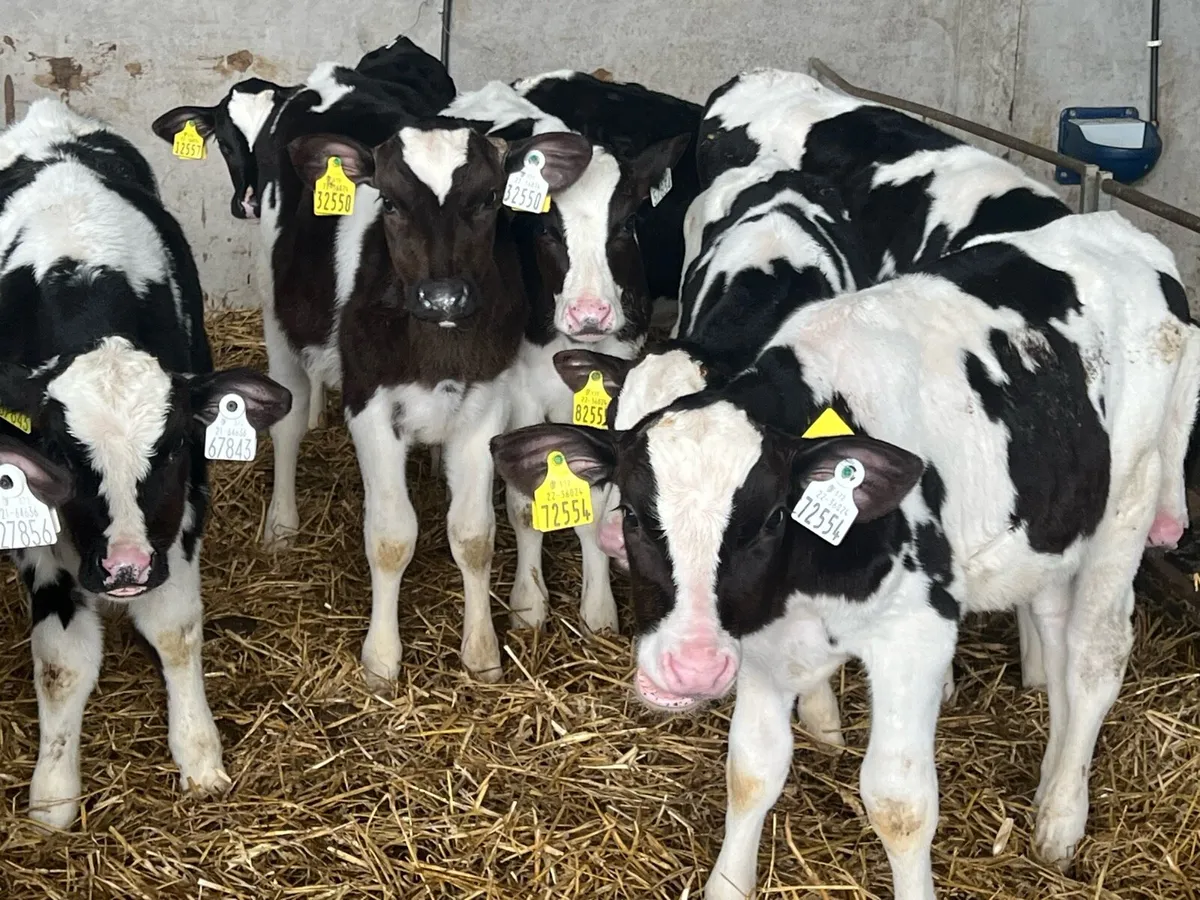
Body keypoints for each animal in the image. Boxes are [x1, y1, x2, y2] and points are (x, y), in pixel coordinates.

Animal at [0, 98, 292, 830]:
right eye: (59, 451)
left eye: (176, 447)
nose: (126, 568)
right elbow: (61, 662)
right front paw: (53, 792)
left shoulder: (185, 509)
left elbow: (176, 628)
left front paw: (199, 753)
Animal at [444, 79, 690, 634]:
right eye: (546, 230)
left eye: (626, 223)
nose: (590, 312)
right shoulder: (518, 396)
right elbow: (522, 504)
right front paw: (528, 602)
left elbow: (597, 504)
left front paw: (599, 608)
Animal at [491, 210, 1200, 900]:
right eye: (638, 512)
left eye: (771, 518)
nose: (689, 669)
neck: (808, 582)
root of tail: (1128, 236)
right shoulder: (761, 635)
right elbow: (751, 769)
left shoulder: (917, 634)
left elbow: (899, 804)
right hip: (1053, 521)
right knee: (1053, 631)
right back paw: (1053, 773)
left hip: (1129, 500)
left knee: (1094, 655)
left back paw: (1060, 817)